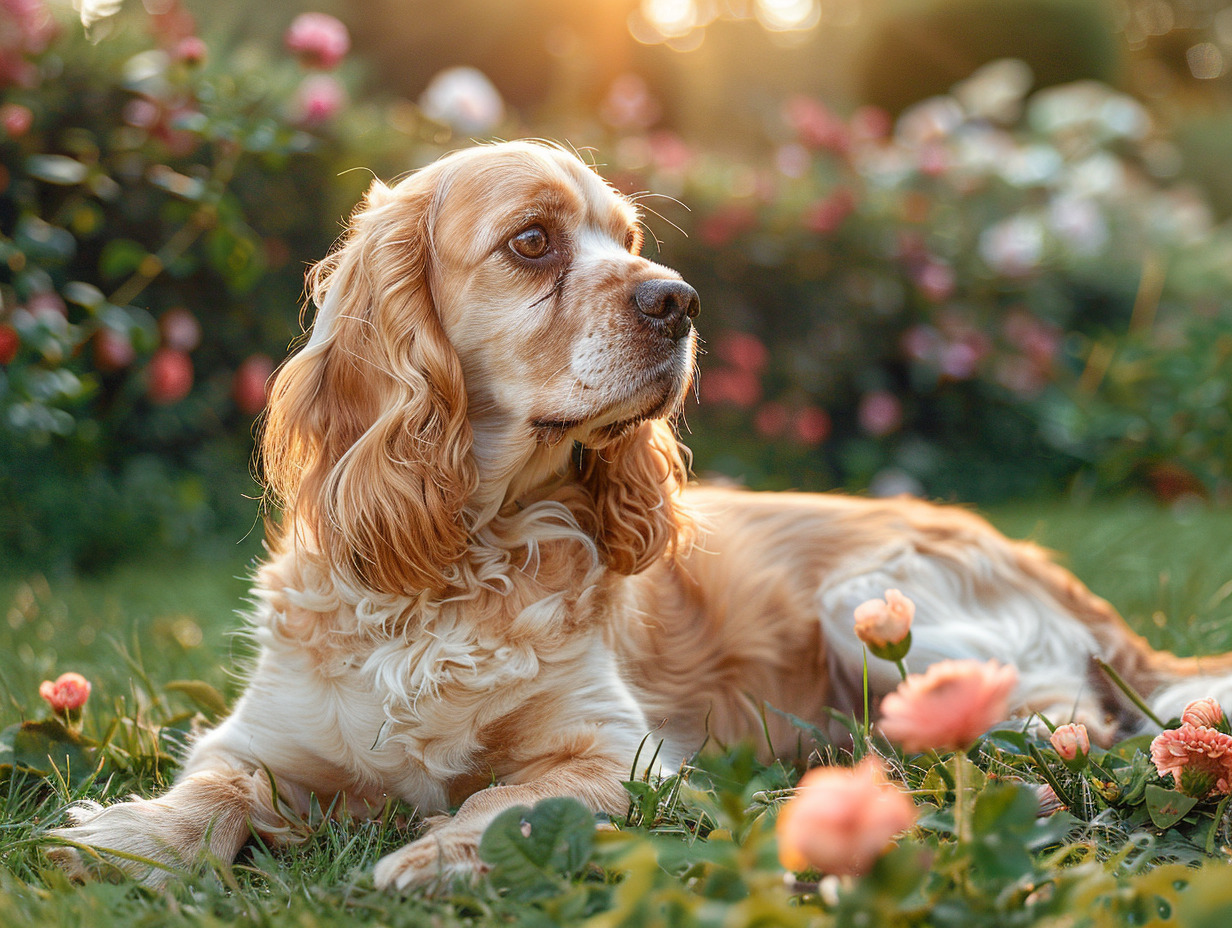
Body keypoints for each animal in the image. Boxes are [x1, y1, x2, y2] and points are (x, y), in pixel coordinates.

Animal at [48, 141, 1232, 887]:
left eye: (625, 237)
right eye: (532, 241)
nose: (681, 301)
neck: (464, 558)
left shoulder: (618, 752)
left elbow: (509, 800)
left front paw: (438, 854)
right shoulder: (261, 736)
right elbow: (214, 790)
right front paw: (126, 835)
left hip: (881, 608)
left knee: (1072, 733)